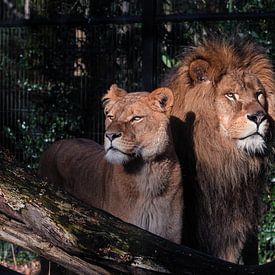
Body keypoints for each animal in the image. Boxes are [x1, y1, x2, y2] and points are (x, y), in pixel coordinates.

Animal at [40, 85, 184, 245]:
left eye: (136, 118)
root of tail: (55, 143)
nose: (110, 135)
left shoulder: (170, 237)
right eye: (111, 117)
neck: (149, 173)